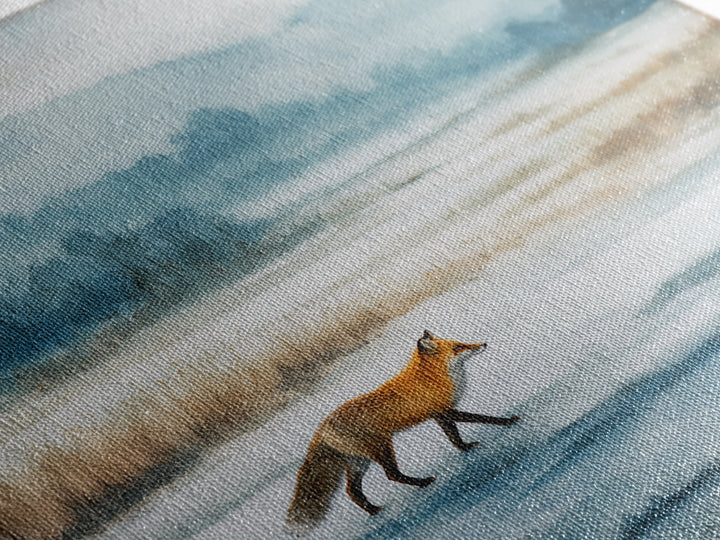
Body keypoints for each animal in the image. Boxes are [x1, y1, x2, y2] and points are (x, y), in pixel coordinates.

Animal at [286, 330, 520, 529]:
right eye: (458, 347)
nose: (484, 344)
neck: (432, 378)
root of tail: (322, 429)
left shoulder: (440, 416)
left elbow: (454, 437)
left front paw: (466, 448)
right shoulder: (446, 412)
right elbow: (481, 418)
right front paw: (507, 421)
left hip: (359, 462)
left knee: (352, 492)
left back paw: (374, 510)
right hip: (381, 448)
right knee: (391, 474)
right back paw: (423, 483)